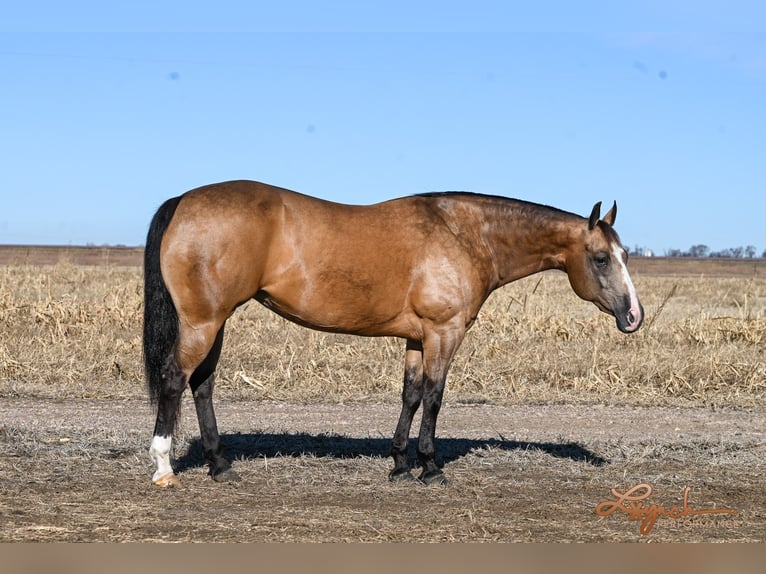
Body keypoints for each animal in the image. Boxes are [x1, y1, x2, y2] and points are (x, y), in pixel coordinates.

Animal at [142, 179, 640, 486]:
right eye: (600, 258)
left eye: (625, 255)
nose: (633, 316)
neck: (465, 233)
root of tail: (183, 201)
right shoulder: (444, 332)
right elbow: (435, 396)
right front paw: (431, 467)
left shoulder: (417, 338)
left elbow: (411, 394)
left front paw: (400, 464)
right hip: (203, 322)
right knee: (175, 378)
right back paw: (164, 466)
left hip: (216, 321)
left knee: (202, 385)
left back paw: (220, 465)